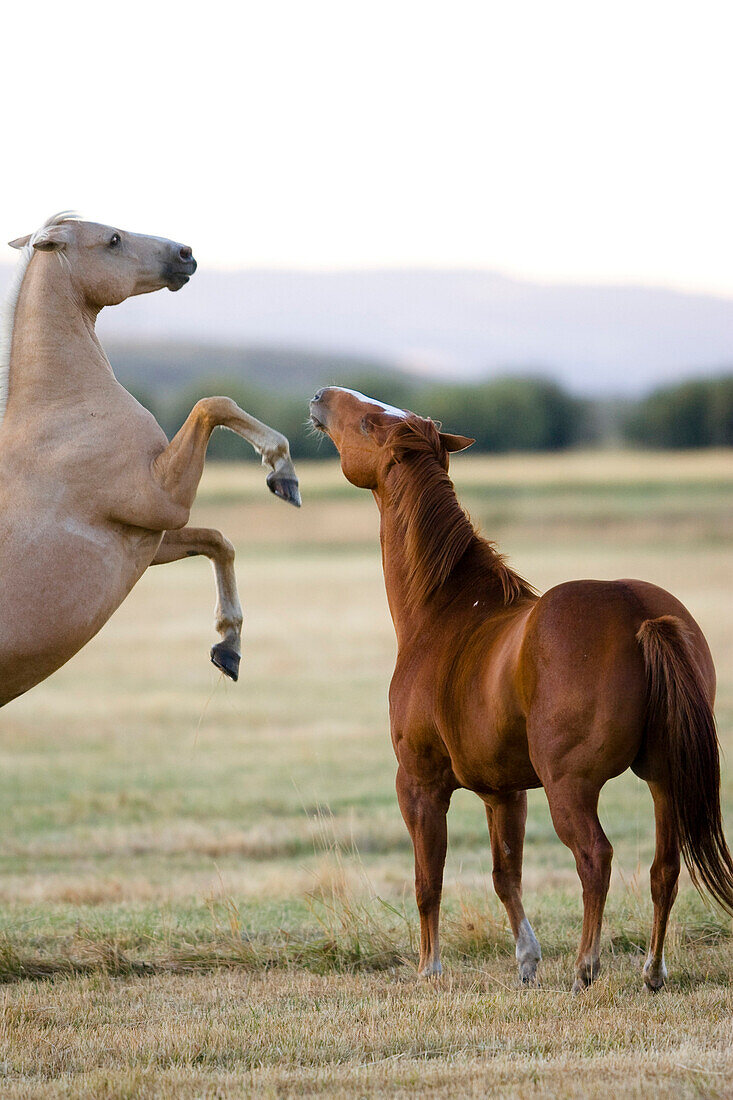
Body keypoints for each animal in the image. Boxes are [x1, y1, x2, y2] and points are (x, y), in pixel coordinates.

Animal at [0, 214, 299, 704]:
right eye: (113, 239)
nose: (185, 253)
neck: (66, 408)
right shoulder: (161, 501)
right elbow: (213, 405)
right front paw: (283, 474)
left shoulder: (150, 537)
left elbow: (218, 541)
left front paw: (228, 648)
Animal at [310, 389, 730, 998]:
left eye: (369, 422)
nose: (321, 399)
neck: (445, 613)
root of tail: (640, 615)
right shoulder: (503, 792)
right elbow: (505, 874)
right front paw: (526, 962)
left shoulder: (419, 784)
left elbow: (428, 880)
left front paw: (429, 968)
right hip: (663, 778)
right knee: (664, 869)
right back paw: (652, 970)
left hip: (570, 786)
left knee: (596, 858)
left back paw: (585, 967)